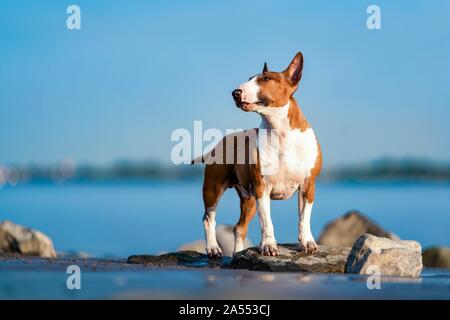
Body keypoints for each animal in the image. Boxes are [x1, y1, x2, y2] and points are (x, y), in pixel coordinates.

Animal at [195, 52, 322, 258]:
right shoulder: (262, 187)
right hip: (213, 189)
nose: (235, 92)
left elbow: (304, 218)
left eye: (265, 79)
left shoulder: (308, 186)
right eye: (249, 78)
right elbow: (267, 221)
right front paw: (269, 245)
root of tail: (221, 141)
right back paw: (213, 248)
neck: (280, 130)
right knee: (209, 218)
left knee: (238, 227)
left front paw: (308, 242)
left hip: (248, 199)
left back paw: (238, 253)